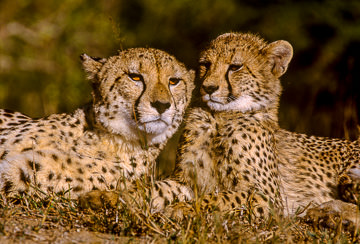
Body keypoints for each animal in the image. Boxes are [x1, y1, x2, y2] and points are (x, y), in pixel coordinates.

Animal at [175, 31, 360, 220]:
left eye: (235, 67)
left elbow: (219, 198)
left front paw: (184, 208)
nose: (208, 87)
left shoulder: (268, 198)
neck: (220, 118)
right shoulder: (183, 179)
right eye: (205, 64)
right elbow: (168, 186)